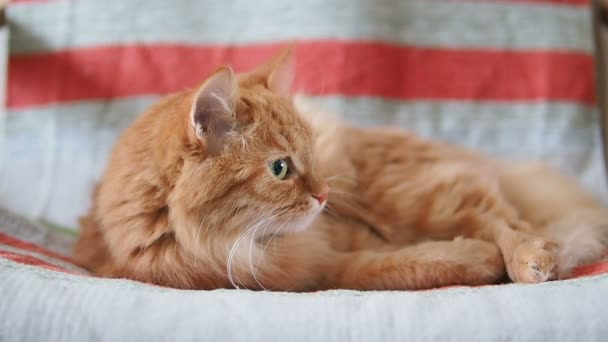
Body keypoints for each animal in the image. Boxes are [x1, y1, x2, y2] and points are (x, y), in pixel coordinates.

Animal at [75, 46, 608, 290]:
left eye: (309, 152)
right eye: (280, 168)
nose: (323, 196)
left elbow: (409, 260)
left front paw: (484, 257)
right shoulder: (314, 268)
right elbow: (392, 268)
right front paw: (471, 258)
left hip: (408, 193)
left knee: (507, 219)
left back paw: (530, 260)